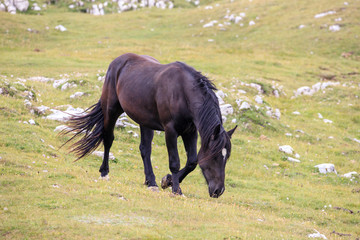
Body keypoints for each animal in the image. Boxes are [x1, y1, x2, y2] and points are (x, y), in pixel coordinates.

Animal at [63, 53, 238, 198]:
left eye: (227, 156)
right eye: (215, 156)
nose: (218, 191)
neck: (183, 92)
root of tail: (117, 61)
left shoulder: (191, 131)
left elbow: (192, 162)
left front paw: (167, 181)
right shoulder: (170, 131)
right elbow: (175, 162)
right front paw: (176, 189)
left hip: (145, 122)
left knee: (145, 149)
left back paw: (151, 182)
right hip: (111, 110)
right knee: (108, 139)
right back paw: (104, 173)